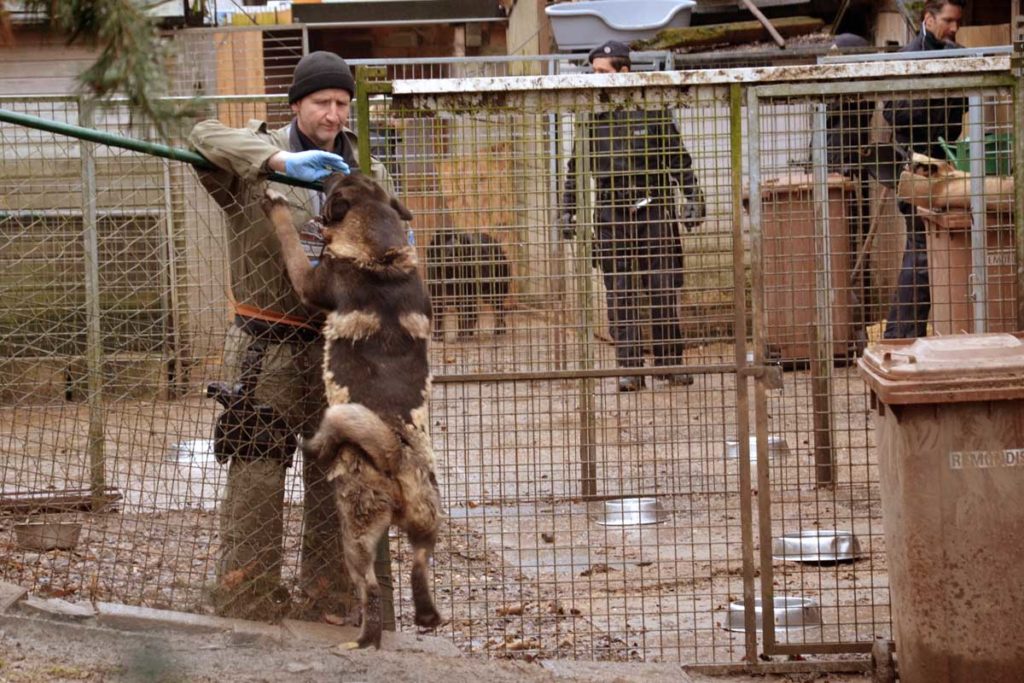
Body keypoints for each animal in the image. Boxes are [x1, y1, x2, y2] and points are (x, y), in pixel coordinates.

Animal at [260, 174, 440, 651]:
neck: (381, 255)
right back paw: (427, 616)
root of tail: (395, 454)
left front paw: (277, 204)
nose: (324, 174)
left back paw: (361, 640)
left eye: (333, 184)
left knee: (371, 589)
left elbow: (289, 238)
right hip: (424, 519)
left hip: (355, 535)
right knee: (420, 563)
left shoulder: (309, 281)